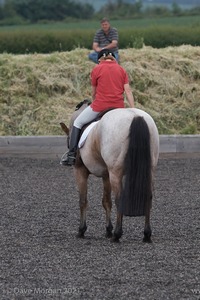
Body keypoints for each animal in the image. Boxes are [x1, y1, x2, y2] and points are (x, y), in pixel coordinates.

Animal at [61, 99, 159, 243]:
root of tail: (135, 116)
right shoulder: (106, 175)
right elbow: (106, 201)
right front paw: (108, 229)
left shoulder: (80, 171)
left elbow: (83, 201)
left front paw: (81, 230)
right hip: (149, 171)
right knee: (148, 197)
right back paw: (146, 235)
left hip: (115, 173)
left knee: (119, 199)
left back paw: (117, 235)